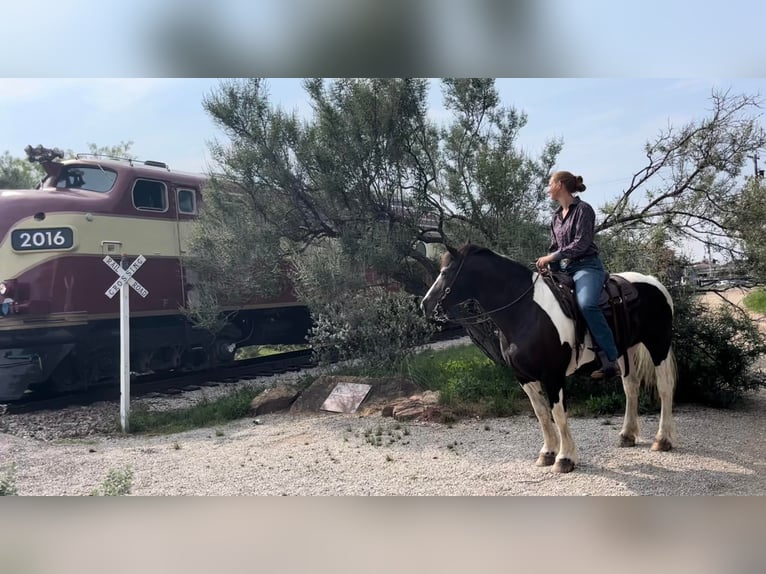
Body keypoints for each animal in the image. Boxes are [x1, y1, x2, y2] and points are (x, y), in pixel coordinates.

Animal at [420, 243, 680, 472]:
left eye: (445, 272)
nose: (425, 304)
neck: (525, 311)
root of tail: (654, 281)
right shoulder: (523, 377)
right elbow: (542, 413)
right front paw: (547, 453)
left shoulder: (553, 375)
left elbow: (558, 413)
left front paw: (564, 458)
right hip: (628, 349)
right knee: (631, 386)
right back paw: (627, 435)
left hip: (658, 345)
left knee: (665, 387)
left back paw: (663, 440)